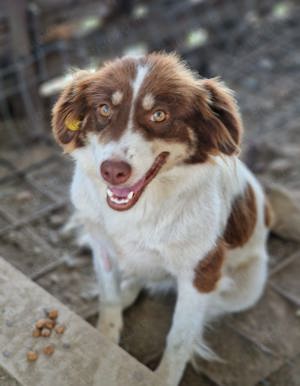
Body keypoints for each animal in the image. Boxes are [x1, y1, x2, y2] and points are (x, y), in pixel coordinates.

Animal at [52, 53, 272, 386]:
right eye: (104, 109)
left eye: (159, 115)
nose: (112, 171)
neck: (140, 208)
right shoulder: (101, 246)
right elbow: (109, 300)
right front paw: (106, 340)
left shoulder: (202, 273)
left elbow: (179, 337)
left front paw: (164, 376)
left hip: (248, 285)